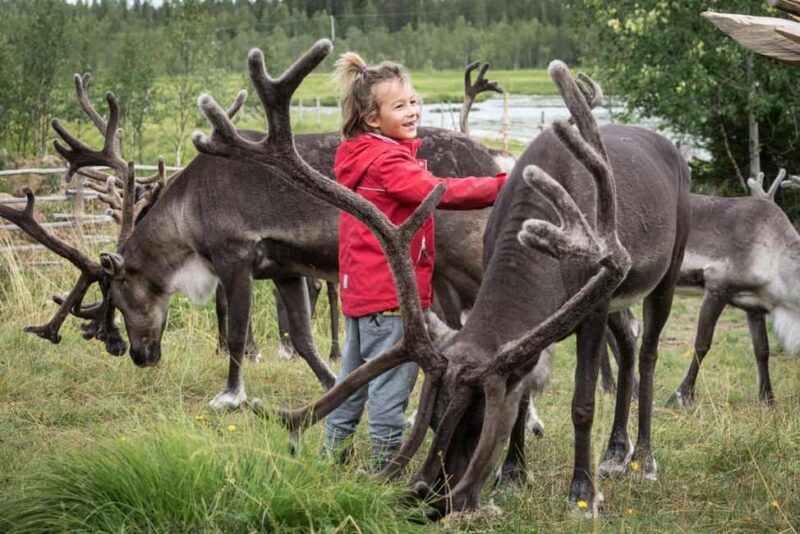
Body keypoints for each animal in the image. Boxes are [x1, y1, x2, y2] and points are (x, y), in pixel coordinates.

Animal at [193, 40, 689, 516]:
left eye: (479, 421)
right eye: (432, 419)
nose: (432, 497)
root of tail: (668, 146)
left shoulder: (593, 302)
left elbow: (582, 403)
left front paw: (582, 492)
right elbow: (526, 393)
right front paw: (514, 473)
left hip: (663, 271)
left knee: (647, 351)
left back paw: (641, 457)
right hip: (621, 295)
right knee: (629, 340)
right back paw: (617, 451)